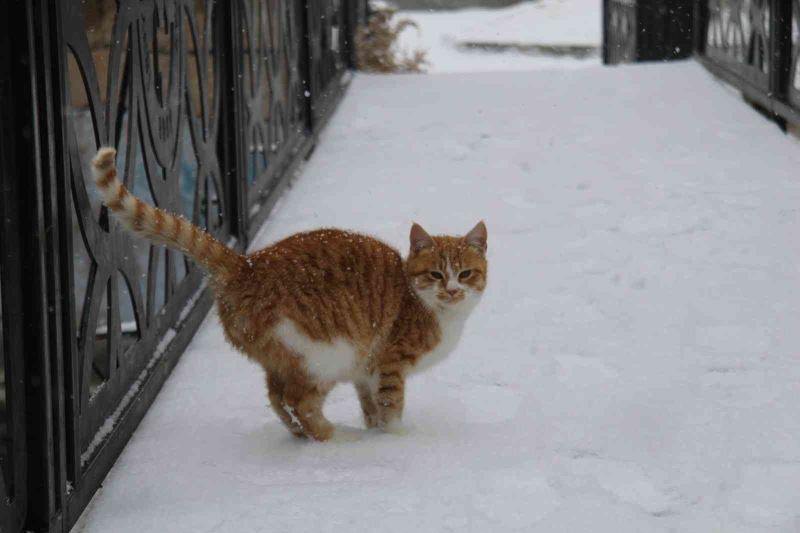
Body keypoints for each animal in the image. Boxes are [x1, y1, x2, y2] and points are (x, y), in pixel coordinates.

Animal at [90, 147, 484, 440]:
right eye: (435, 274)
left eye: (465, 274)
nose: (452, 289)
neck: (430, 308)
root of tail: (247, 265)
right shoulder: (389, 363)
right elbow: (391, 407)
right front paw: (394, 440)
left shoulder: (364, 373)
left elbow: (370, 406)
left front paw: (373, 429)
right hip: (327, 352)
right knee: (299, 402)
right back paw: (333, 438)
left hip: (284, 357)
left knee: (277, 398)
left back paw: (302, 436)